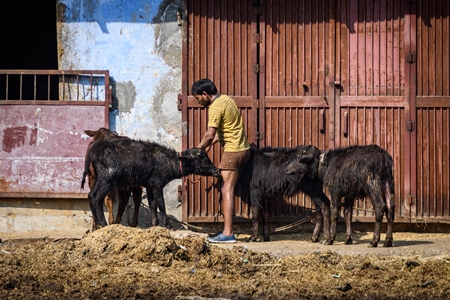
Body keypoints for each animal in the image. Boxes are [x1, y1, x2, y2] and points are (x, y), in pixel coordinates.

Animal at [83, 137, 221, 229]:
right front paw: (167, 224)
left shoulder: (149, 185)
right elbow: (161, 203)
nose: (216, 171)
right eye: (202, 158)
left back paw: (99, 224)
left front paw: (155, 224)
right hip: (106, 177)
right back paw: (103, 224)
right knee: (96, 197)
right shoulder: (157, 184)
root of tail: (93, 149)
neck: (169, 161)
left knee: (91, 196)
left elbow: (153, 204)